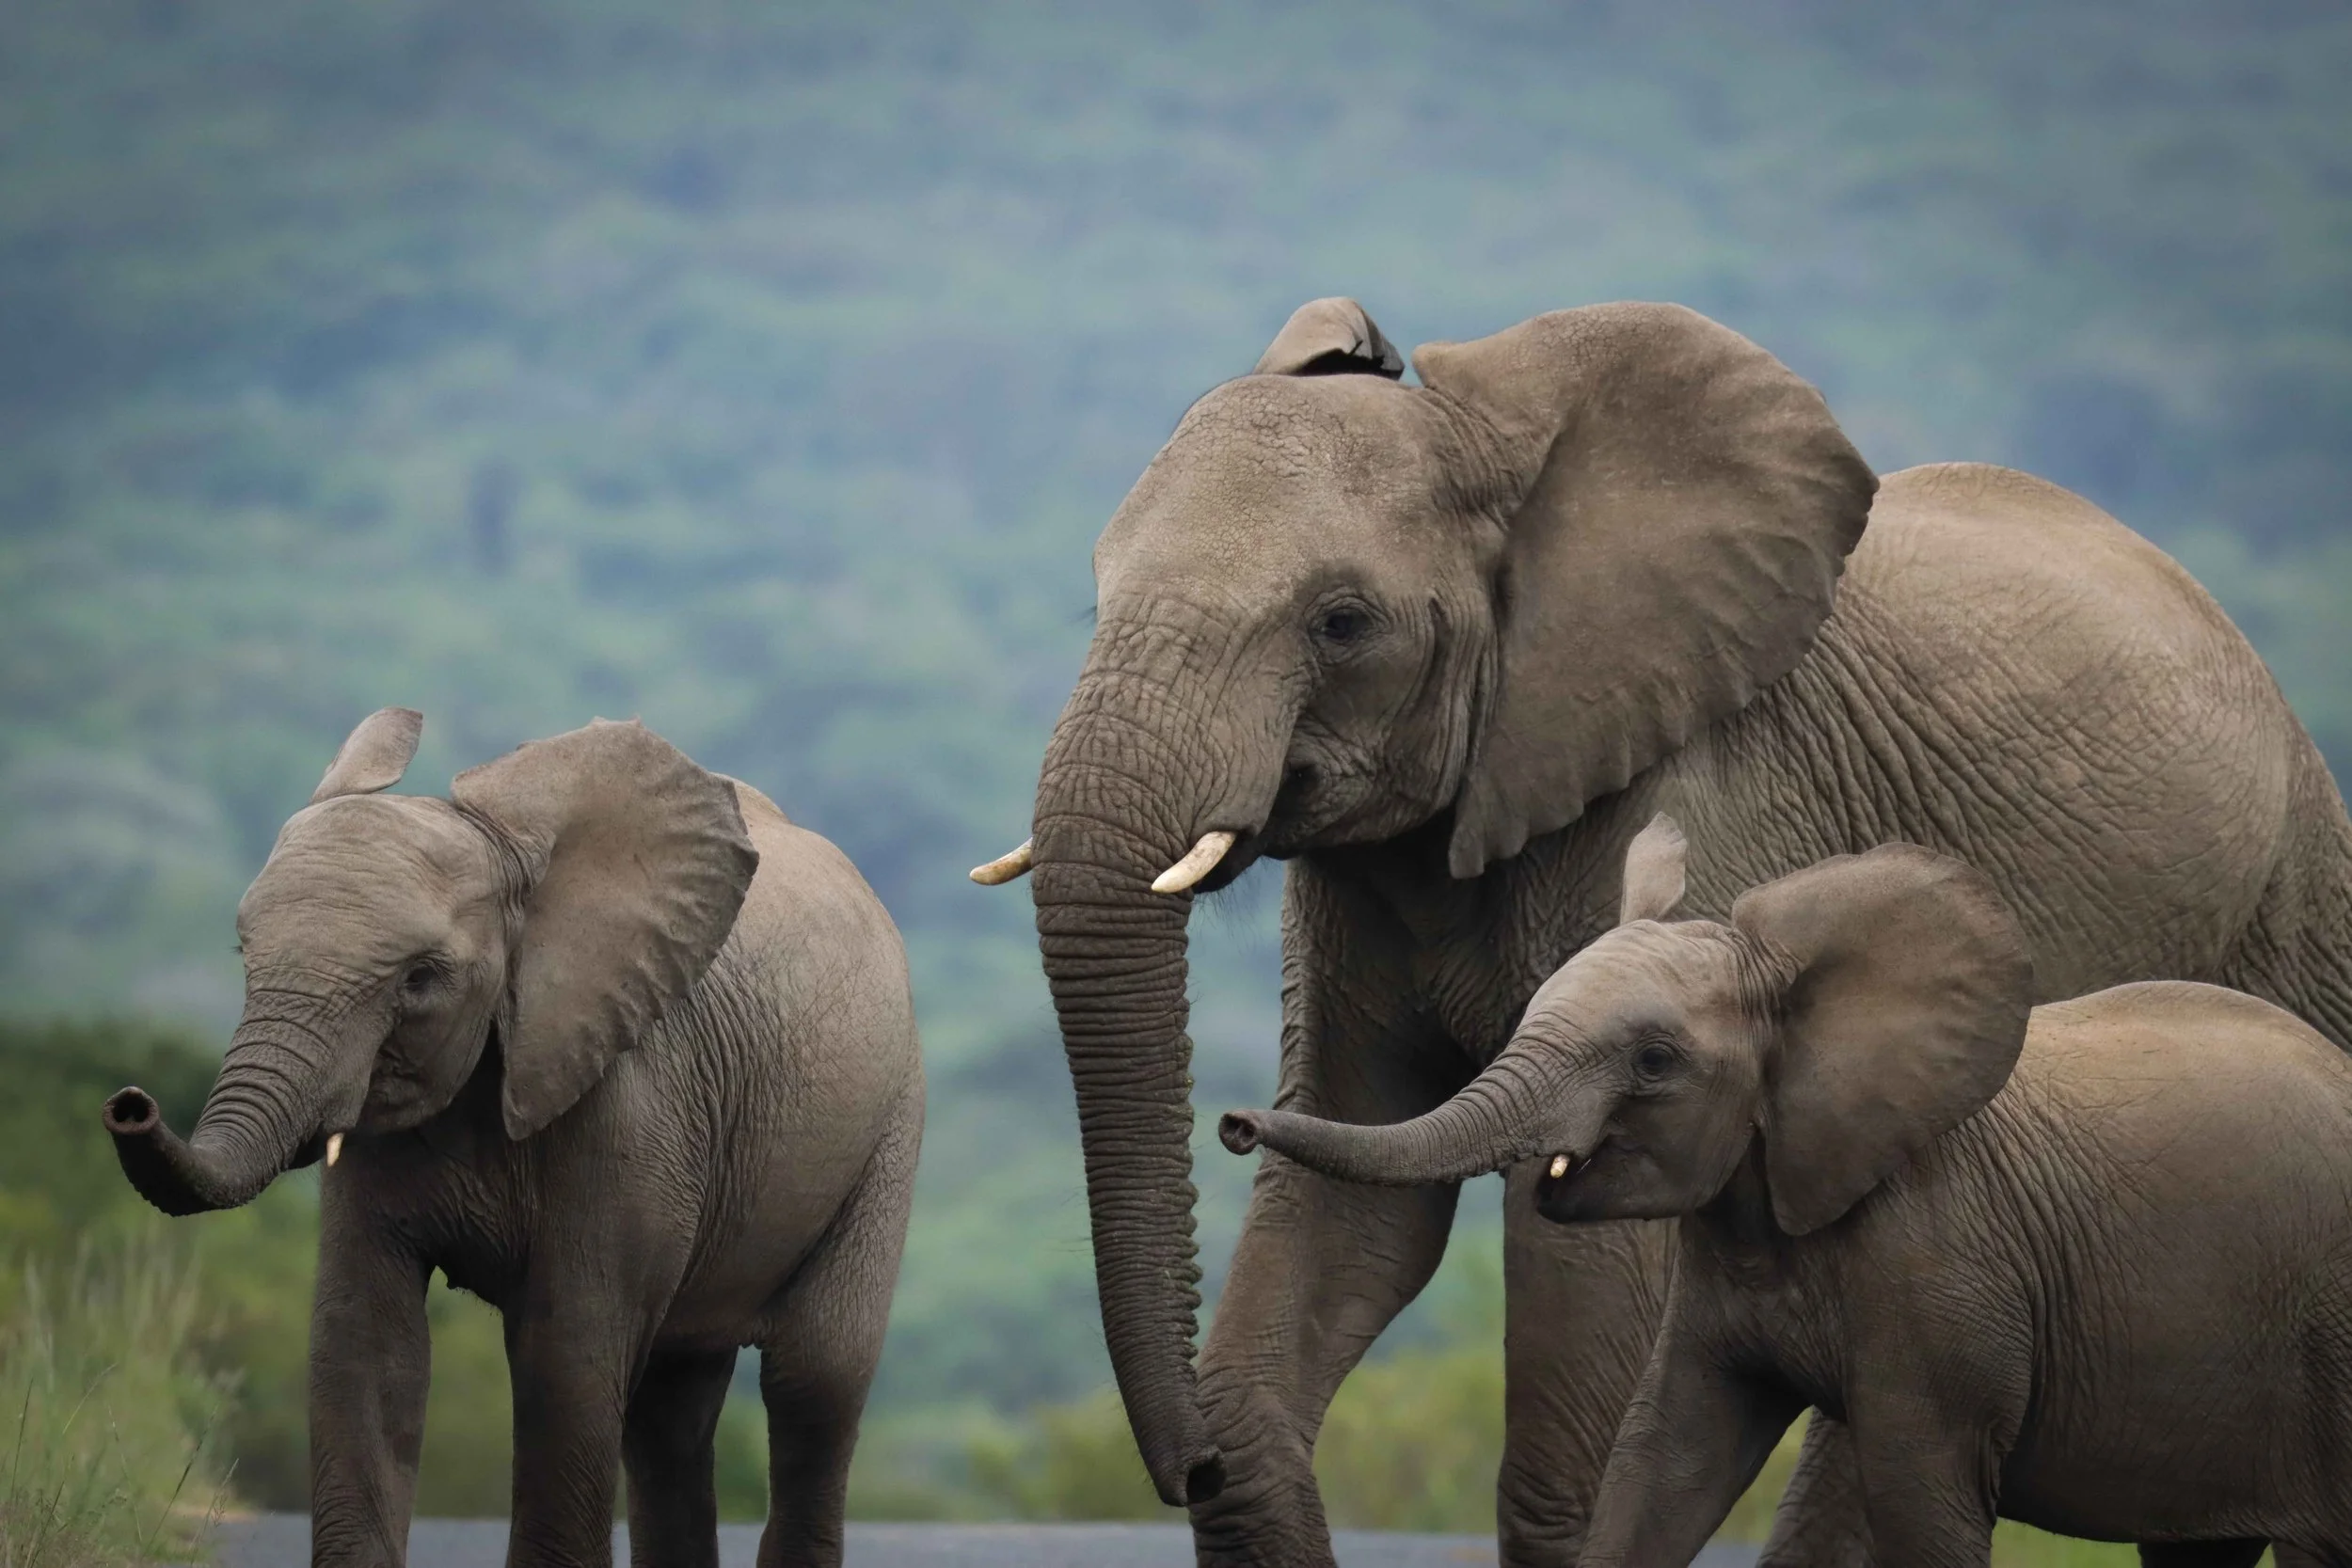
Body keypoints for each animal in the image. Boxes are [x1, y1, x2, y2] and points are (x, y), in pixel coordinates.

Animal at [102, 711, 923, 1568]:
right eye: (242, 954)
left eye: (419, 979)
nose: (129, 1103)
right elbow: (365, 1347)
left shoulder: (632, 1099)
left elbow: (565, 1356)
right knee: (673, 1407)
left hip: (889, 1121)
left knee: (815, 1379)